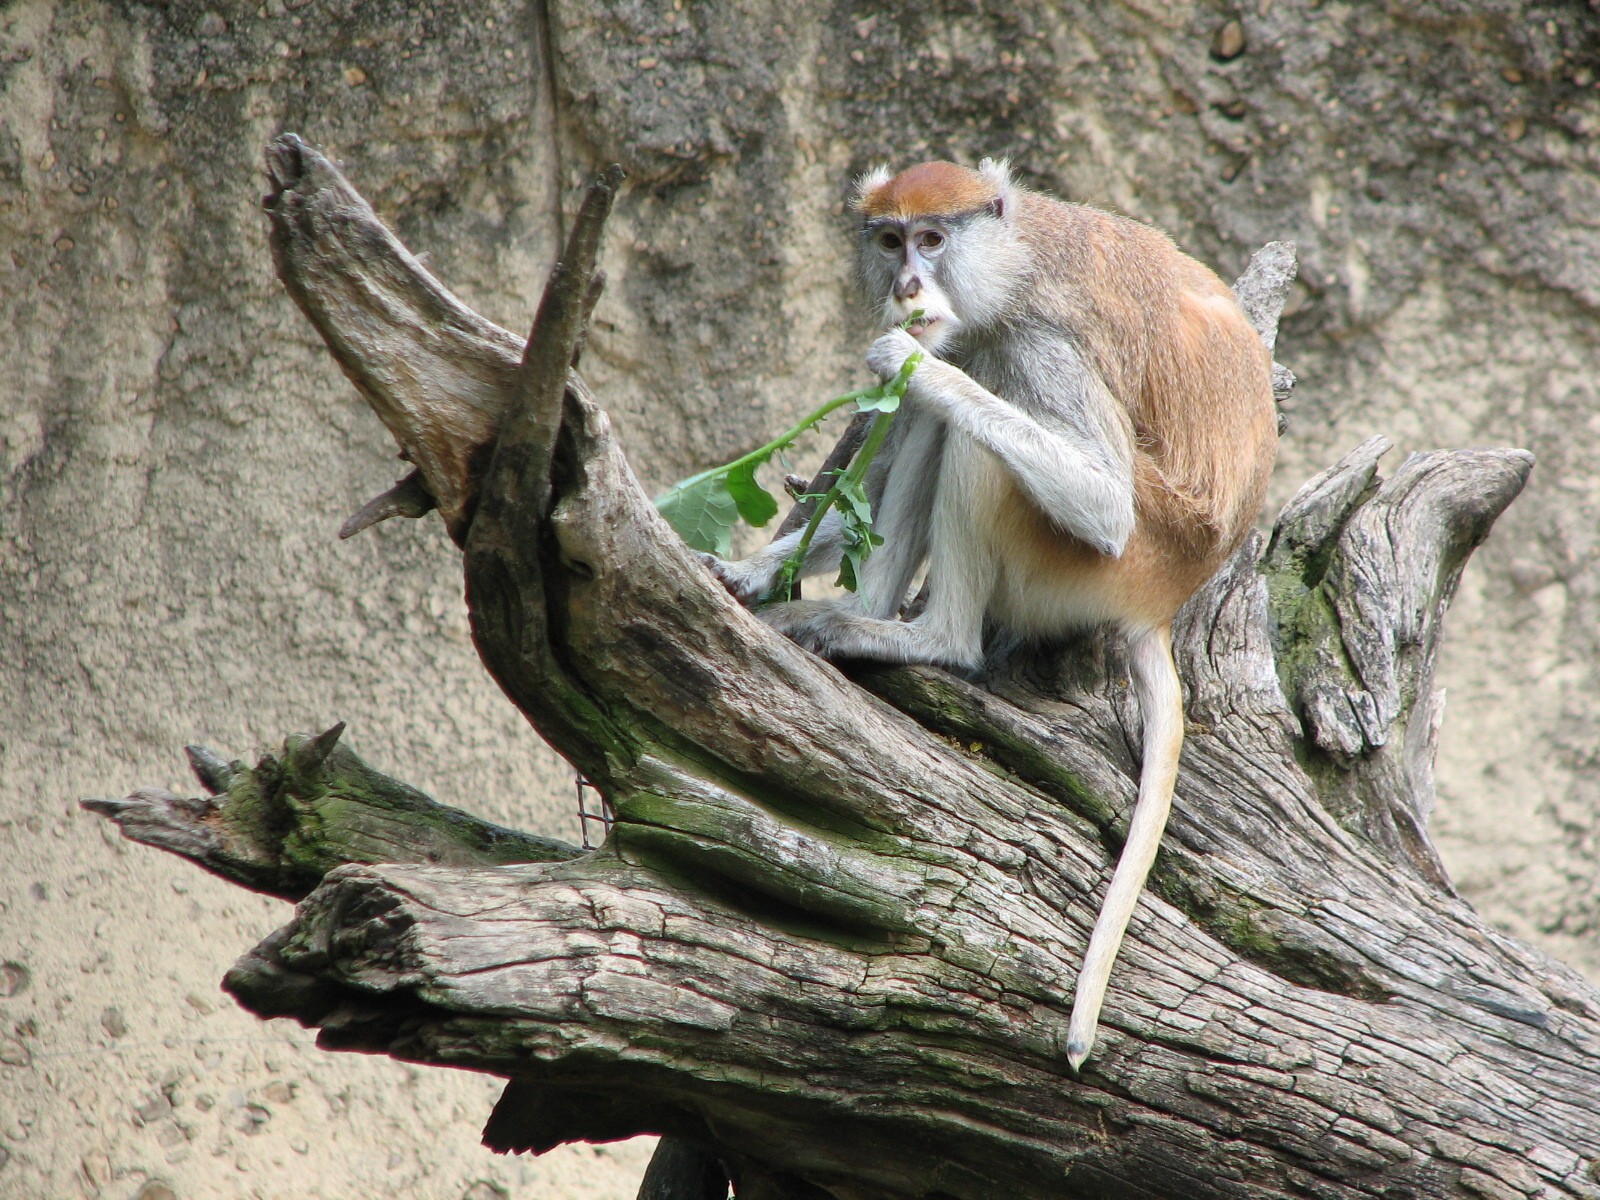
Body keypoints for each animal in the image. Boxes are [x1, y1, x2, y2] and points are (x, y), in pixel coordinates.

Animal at [703, 159, 1278, 1070]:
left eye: (934, 240)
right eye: (890, 240)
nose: (907, 284)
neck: (1015, 258)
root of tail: (1165, 599)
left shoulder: (1044, 341)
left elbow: (1093, 495)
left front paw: (904, 360)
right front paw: (755, 569)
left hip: (1095, 567)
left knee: (974, 438)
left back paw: (915, 636)